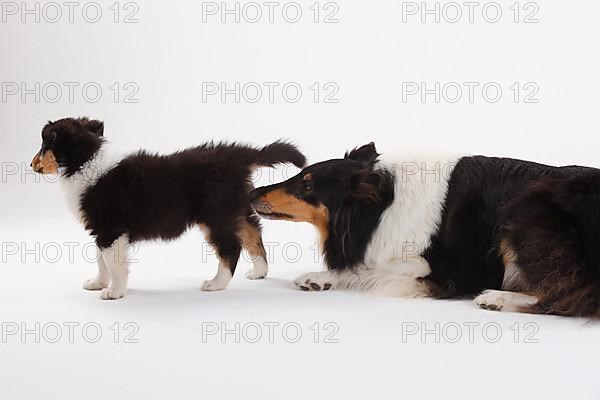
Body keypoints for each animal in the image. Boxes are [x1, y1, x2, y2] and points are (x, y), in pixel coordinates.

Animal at [31, 117, 308, 298]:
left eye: (45, 145)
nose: (31, 165)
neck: (86, 160)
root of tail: (238, 156)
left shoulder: (111, 229)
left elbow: (115, 264)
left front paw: (114, 292)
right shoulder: (100, 230)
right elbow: (102, 262)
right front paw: (97, 283)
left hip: (215, 215)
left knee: (231, 247)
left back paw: (216, 284)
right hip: (236, 208)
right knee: (254, 234)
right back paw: (259, 272)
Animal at [252, 142, 600, 318]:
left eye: (307, 185)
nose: (252, 193)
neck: (383, 206)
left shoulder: (444, 273)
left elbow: (367, 270)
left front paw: (318, 276)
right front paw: (320, 278)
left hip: (524, 211)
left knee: (568, 298)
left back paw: (498, 298)